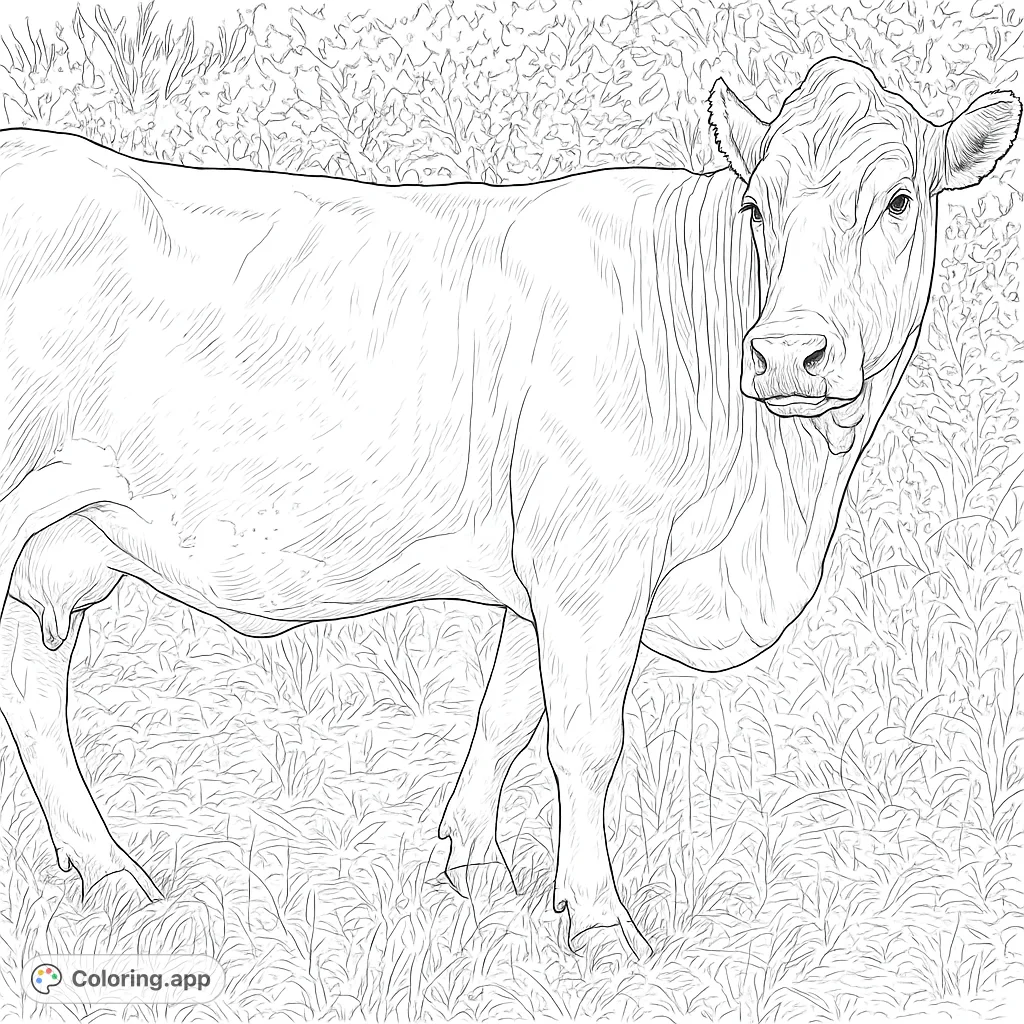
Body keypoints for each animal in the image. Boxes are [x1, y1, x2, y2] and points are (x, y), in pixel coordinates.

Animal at [0, 57, 1018, 960]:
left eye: (899, 200)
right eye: (755, 206)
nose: (787, 352)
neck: (777, 500)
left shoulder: (545, 578)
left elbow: (508, 712)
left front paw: (476, 868)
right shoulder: (595, 553)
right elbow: (586, 738)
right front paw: (600, 922)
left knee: (32, 692)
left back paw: (108, 872)